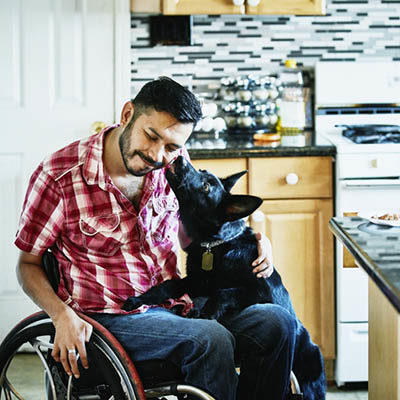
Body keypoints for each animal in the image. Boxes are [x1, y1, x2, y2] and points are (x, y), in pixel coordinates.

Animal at [123, 156, 326, 400]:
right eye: (202, 171)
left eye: (206, 187)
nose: (180, 158)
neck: (214, 246)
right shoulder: (195, 281)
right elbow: (167, 286)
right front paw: (138, 300)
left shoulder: (259, 291)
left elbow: (222, 292)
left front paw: (205, 313)